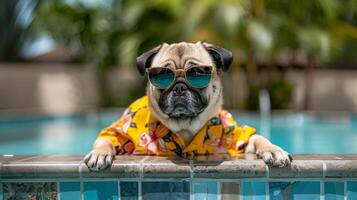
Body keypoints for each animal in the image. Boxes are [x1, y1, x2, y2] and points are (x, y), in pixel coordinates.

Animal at [85, 41, 290, 170]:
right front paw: (99, 153)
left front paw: (274, 151)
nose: (179, 87)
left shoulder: (237, 138)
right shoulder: (116, 134)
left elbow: (258, 139)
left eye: (198, 73)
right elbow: (106, 140)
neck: (185, 126)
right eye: (162, 75)